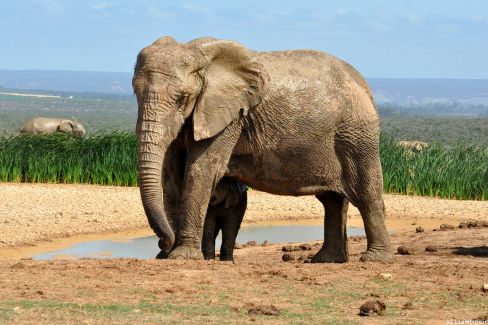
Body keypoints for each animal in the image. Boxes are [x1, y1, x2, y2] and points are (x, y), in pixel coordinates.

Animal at [133, 36, 392, 264]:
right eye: (135, 93)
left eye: (183, 98)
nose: (164, 243)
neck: (197, 53)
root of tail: (364, 85)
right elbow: (171, 174)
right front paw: (167, 256)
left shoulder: (230, 116)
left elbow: (201, 170)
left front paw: (181, 256)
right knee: (332, 200)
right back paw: (326, 260)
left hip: (356, 134)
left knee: (365, 193)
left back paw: (374, 258)